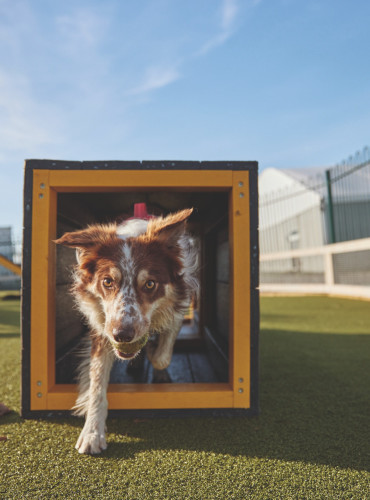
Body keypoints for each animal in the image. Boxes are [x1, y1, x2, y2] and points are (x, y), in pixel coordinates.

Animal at [55, 207, 198, 454]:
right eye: (107, 281)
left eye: (150, 284)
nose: (122, 335)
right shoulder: (103, 326)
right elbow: (96, 383)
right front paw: (92, 433)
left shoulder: (179, 307)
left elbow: (162, 355)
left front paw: (153, 355)